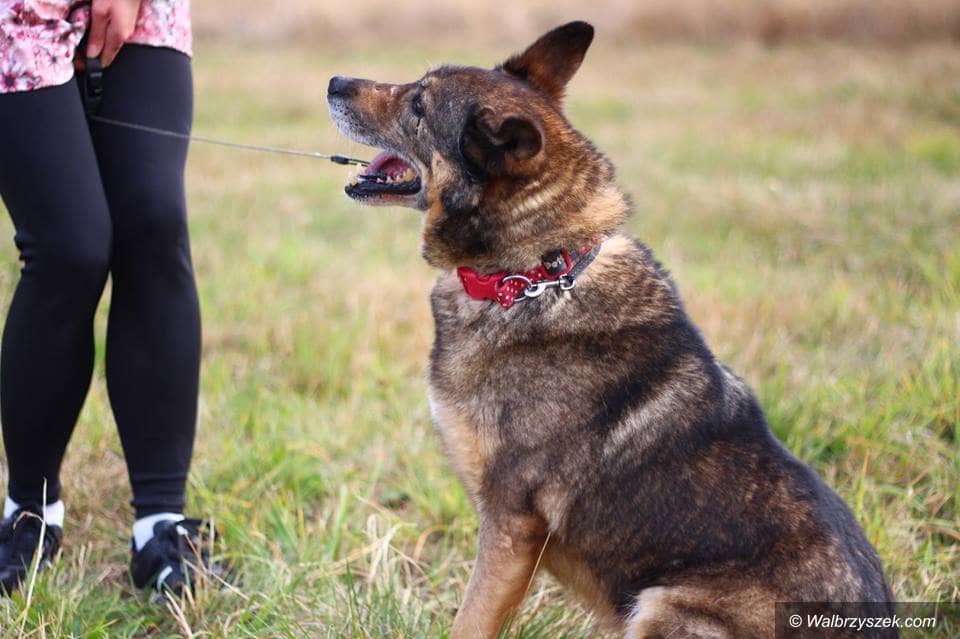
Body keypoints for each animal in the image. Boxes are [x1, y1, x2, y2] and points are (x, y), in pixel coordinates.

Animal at [327, 21, 894, 639]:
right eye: (417, 86)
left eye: (419, 106)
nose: (334, 81)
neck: (533, 275)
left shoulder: (511, 525)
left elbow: (470, 620)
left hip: (665, 605)